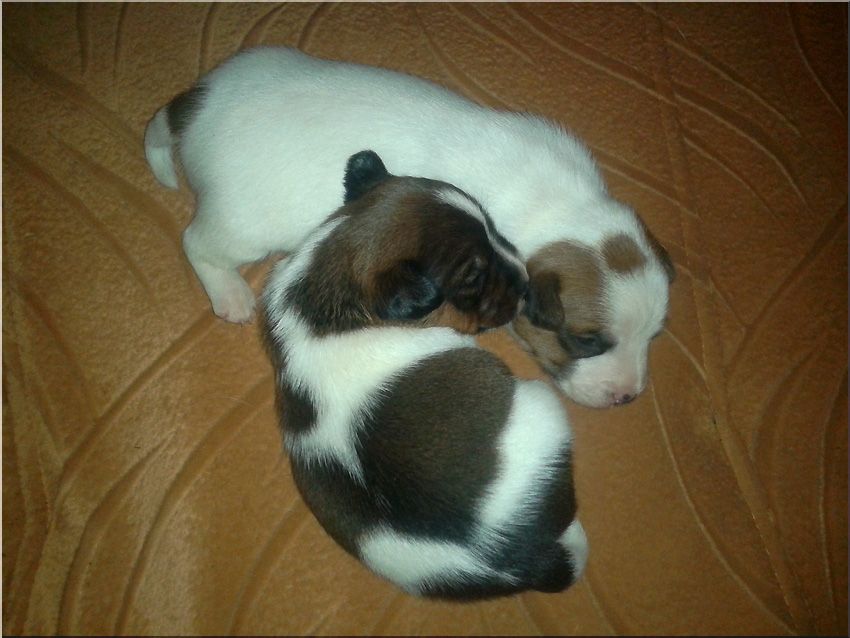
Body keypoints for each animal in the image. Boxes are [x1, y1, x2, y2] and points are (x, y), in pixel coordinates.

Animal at [145, 46, 675, 408]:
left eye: (654, 336)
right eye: (586, 341)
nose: (629, 396)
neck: (561, 206)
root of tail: (193, 103)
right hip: (245, 224)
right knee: (198, 242)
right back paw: (229, 293)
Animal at [261, 150, 586, 599]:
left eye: (491, 223)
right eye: (473, 278)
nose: (524, 280)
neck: (330, 289)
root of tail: (525, 560)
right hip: (542, 403)